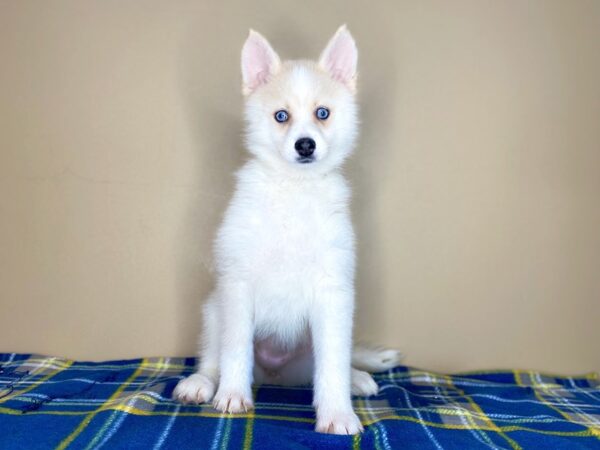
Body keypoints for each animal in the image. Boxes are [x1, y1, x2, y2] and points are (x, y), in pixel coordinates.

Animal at [172, 26, 398, 434]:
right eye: (281, 116)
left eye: (322, 113)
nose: (305, 145)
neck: (294, 188)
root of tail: (276, 375)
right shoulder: (238, 284)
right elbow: (234, 351)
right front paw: (232, 395)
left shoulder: (334, 293)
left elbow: (332, 365)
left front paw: (337, 414)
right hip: (214, 308)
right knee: (212, 358)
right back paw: (200, 383)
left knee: (330, 364)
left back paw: (357, 378)